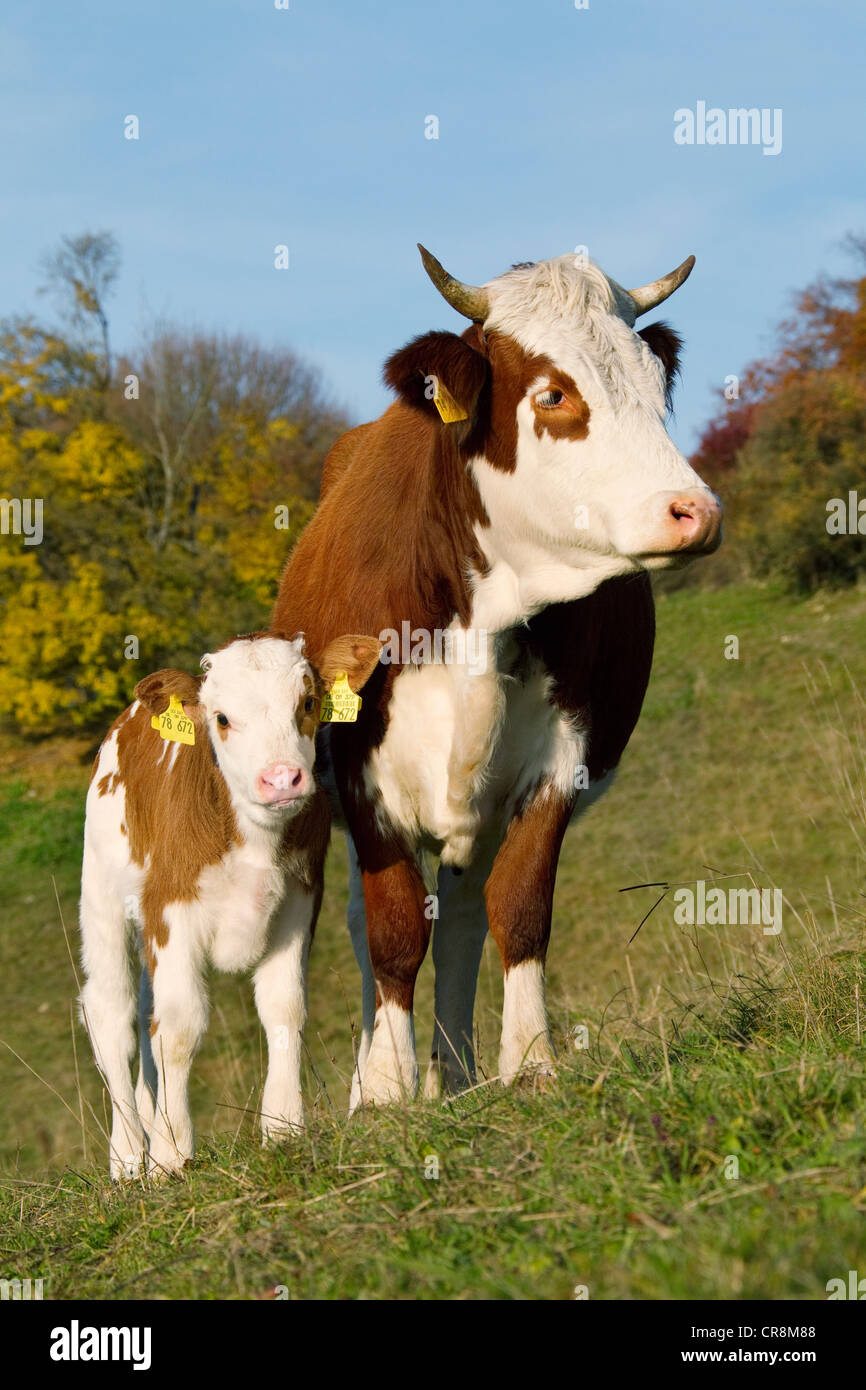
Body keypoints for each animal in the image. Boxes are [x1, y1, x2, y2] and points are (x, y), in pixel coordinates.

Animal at [79, 632, 380, 1179]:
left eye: (308, 703)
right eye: (221, 718)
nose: (281, 779)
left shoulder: (298, 901)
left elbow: (284, 1008)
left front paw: (283, 1127)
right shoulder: (170, 910)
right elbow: (178, 1028)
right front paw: (171, 1155)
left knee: (145, 1017)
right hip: (101, 895)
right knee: (112, 1015)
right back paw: (129, 1156)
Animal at [271, 246, 722, 1111]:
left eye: (656, 382)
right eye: (554, 393)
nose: (695, 511)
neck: (486, 614)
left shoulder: (559, 759)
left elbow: (517, 909)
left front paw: (530, 1064)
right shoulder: (363, 777)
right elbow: (393, 932)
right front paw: (384, 1093)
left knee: (462, 925)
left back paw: (455, 1073)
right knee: (376, 929)